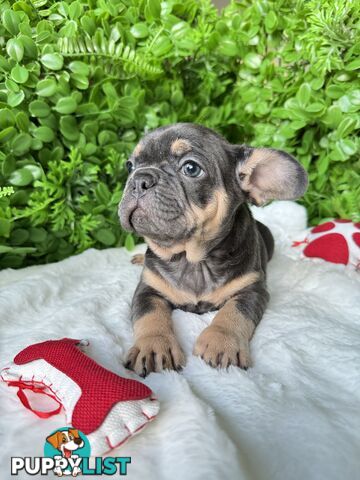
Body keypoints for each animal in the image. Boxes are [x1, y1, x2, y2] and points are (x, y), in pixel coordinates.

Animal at [118, 123, 306, 376]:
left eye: (191, 168)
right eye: (130, 165)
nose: (139, 179)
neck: (192, 259)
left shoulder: (252, 291)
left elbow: (234, 311)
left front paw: (221, 341)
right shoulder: (148, 289)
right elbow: (150, 315)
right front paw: (154, 345)